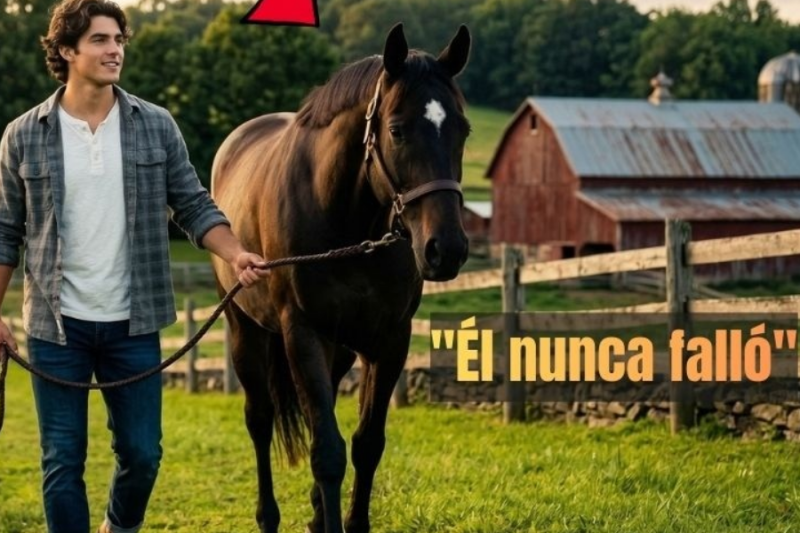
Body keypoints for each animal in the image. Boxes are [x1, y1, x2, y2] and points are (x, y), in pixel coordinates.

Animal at [210, 23, 471, 533]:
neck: (348, 222)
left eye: (463, 130)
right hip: (245, 330)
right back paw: (268, 516)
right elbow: (327, 453)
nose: (446, 249)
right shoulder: (303, 333)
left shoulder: (389, 341)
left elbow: (367, 444)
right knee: (260, 419)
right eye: (396, 130)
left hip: (341, 349)